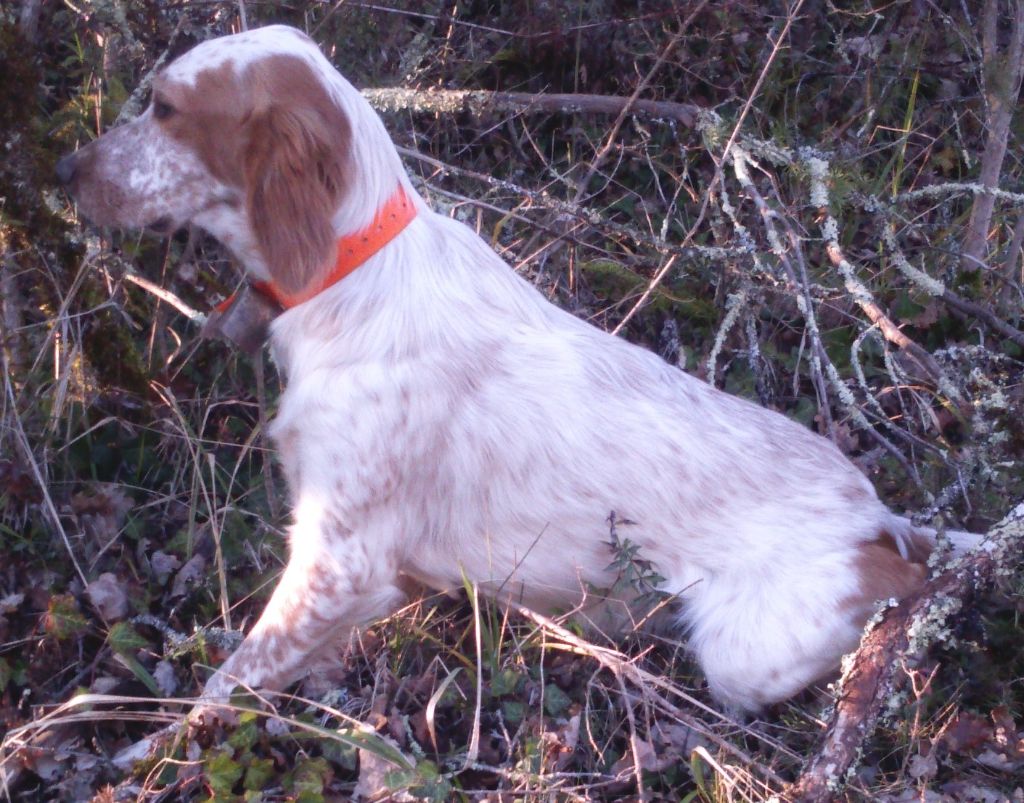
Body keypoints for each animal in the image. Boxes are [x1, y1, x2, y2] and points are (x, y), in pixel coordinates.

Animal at [59, 25, 970, 716]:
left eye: (164, 107)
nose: (66, 170)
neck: (354, 275)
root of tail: (883, 522)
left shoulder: (339, 559)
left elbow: (222, 688)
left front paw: (152, 748)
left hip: (745, 654)